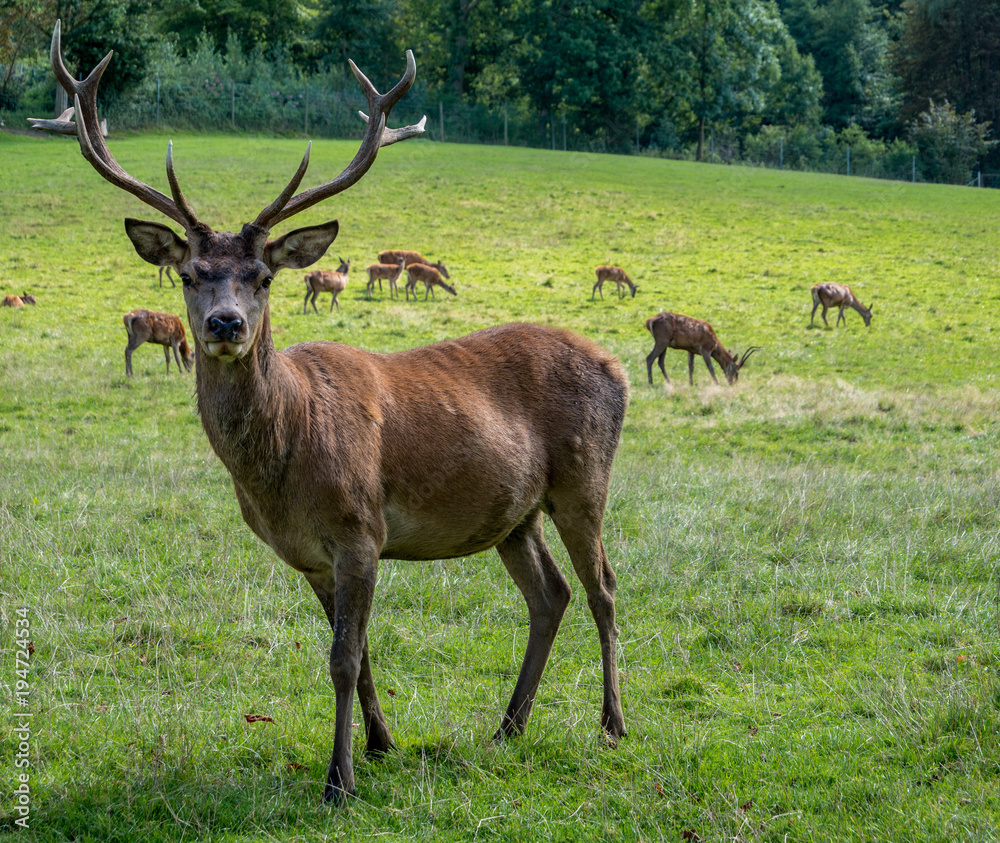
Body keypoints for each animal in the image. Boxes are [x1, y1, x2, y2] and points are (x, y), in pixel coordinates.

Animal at [41, 21, 632, 804]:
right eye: (191, 274)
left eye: (262, 276)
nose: (226, 324)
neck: (286, 465)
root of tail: (617, 365)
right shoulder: (313, 557)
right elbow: (361, 652)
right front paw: (382, 744)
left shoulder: (361, 528)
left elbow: (344, 658)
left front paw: (339, 779)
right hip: (514, 511)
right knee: (551, 594)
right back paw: (508, 726)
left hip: (583, 477)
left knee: (603, 588)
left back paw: (612, 723)